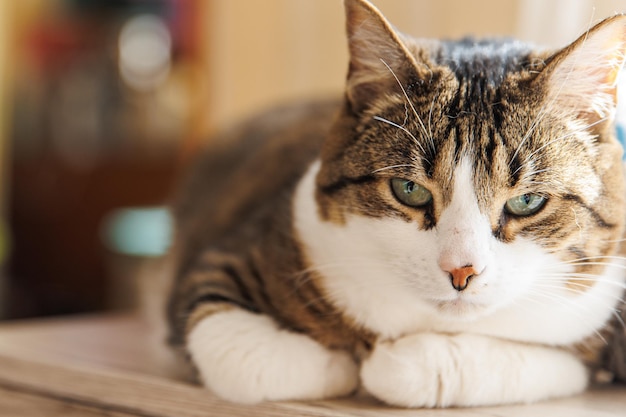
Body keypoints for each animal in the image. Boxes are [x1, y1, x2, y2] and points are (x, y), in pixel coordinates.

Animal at [165, 0, 624, 406]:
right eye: (409, 190)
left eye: (527, 201)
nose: (461, 271)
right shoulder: (222, 261)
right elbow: (247, 358)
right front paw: (342, 361)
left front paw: (385, 363)